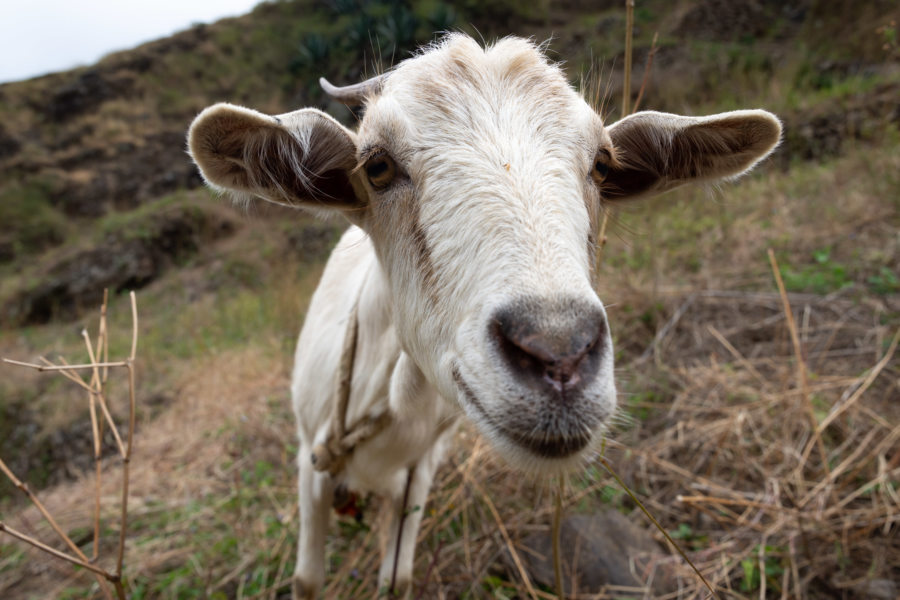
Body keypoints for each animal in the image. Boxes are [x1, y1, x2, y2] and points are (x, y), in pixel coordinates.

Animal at [190, 34, 780, 600]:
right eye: (377, 166)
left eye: (602, 164)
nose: (559, 354)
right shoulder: (310, 462)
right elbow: (308, 581)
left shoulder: (419, 473)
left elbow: (397, 580)